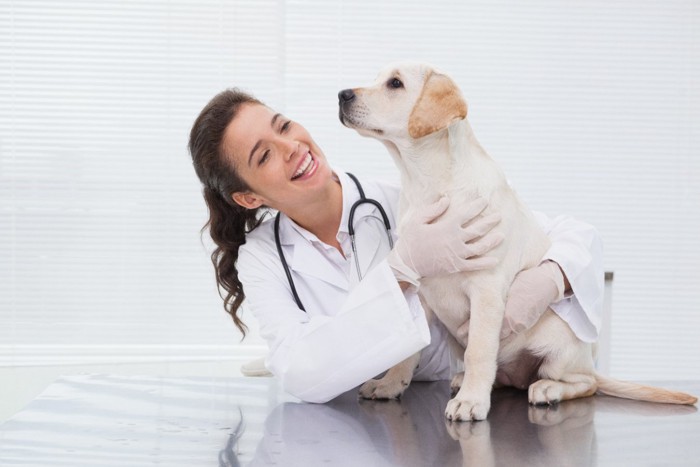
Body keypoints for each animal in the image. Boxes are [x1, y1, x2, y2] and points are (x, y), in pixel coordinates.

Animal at [338, 60, 696, 422]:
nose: (342, 94)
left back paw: (546, 388)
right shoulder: (419, 292)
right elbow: (407, 352)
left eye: (395, 84)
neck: (428, 184)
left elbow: (479, 351)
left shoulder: (486, 290)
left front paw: (471, 402)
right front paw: (389, 384)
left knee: (585, 383)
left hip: (561, 344)